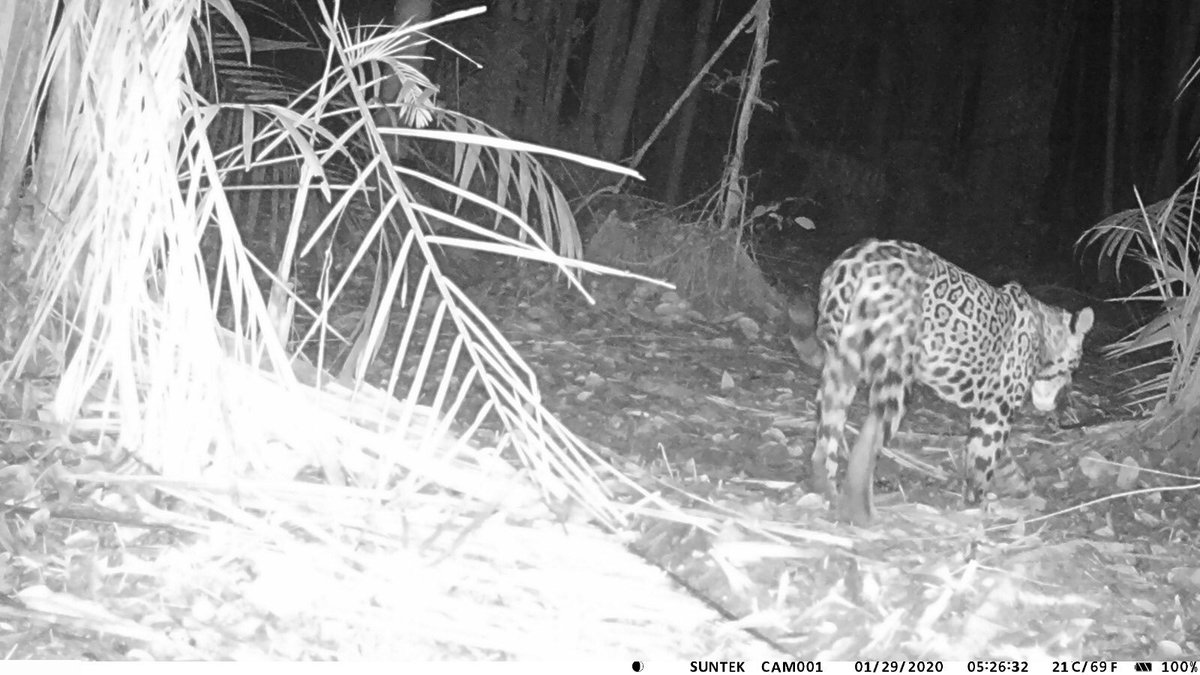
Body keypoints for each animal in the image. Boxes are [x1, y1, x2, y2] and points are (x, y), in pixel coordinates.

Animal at [791, 238, 1094, 525]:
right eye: (1074, 366)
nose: (1067, 390)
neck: (1045, 332)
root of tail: (853, 263)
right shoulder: (998, 406)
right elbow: (985, 454)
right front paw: (978, 503)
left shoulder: (986, 405)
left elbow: (993, 453)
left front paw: (1018, 486)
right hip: (895, 369)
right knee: (872, 433)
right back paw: (859, 512)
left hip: (842, 363)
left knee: (827, 432)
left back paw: (825, 492)